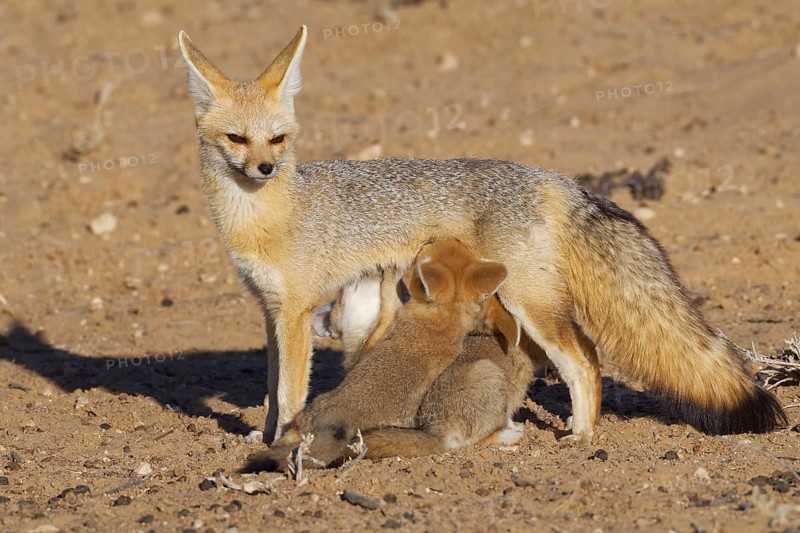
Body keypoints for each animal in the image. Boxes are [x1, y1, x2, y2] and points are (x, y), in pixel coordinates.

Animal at [177, 25, 786, 445]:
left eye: (278, 139)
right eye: (237, 138)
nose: (264, 169)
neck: (263, 216)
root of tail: (550, 176)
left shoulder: (298, 312)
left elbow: (289, 390)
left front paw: (283, 441)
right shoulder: (271, 311)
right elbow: (272, 388)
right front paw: (262, 433)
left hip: (527, 301)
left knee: (584, 360)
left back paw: (583, 435)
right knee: (588, 353)